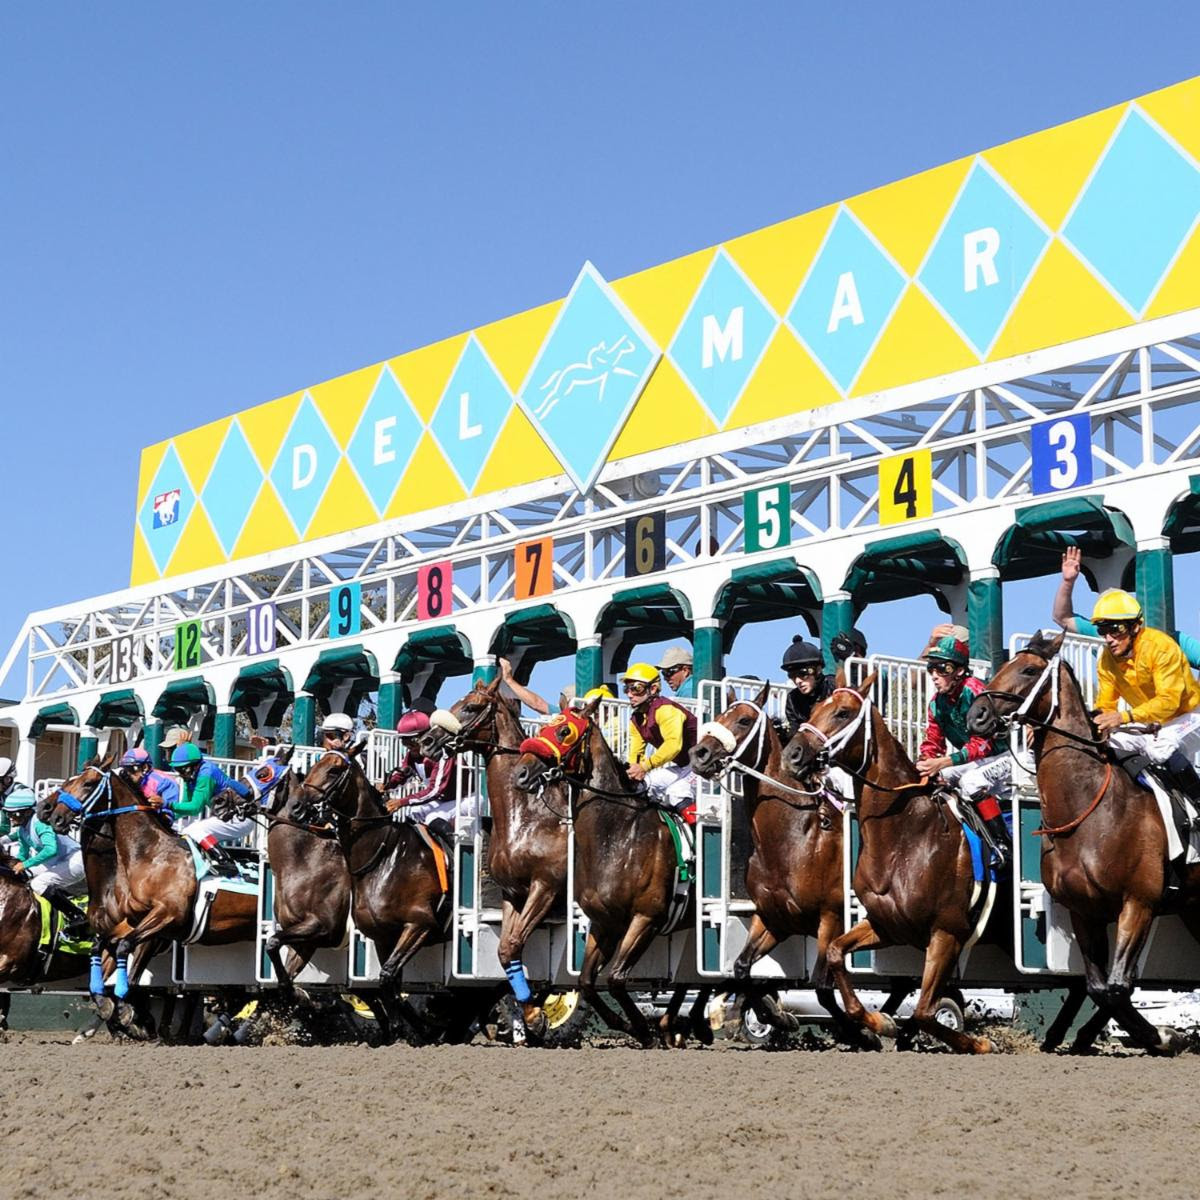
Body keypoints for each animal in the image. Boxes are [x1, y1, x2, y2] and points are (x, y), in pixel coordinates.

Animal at [422, 681, 571, 1036]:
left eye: (471, 707)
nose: (427, 740)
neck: (529, 816)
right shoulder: (512, 893)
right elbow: (506, 950)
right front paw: (530, 1013)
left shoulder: (546, 887)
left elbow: (515, 944)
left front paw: (534, 1016)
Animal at [508, 705, 710, 1046]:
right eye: (546, 728)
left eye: (565, 731)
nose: (520, 773)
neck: (618, 834)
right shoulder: (605, 922)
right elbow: (588, 982)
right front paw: (630, 1025)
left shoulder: (646, 918)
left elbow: (615, 978)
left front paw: (642, 1029)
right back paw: (675, 1025)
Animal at [686, 686, 854, 1041]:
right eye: (719, 715)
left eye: (744, 720)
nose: (698, 754)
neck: (792, 839)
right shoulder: (774, 919)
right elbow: (742, 971)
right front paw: (774, 1016)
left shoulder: (830, 917)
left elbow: (822, 986)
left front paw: (864, 1031)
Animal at [787, 672, 993, 1056]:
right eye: (814, 708)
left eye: (842, 712)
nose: (793, 754)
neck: (906, 835)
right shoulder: (887, 924)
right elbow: (835, 953)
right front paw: (877, 1023)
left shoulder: (947, 930)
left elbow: (927, 1010)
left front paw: (980, 1043)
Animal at [969, 628, 1195, 1051]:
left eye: (1028, 670)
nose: (976, 715)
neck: (1091, 808)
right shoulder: (1084, 909)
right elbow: (1097, 986)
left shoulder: (1138, 901)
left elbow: (1118, 986)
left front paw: (1162, 1035)